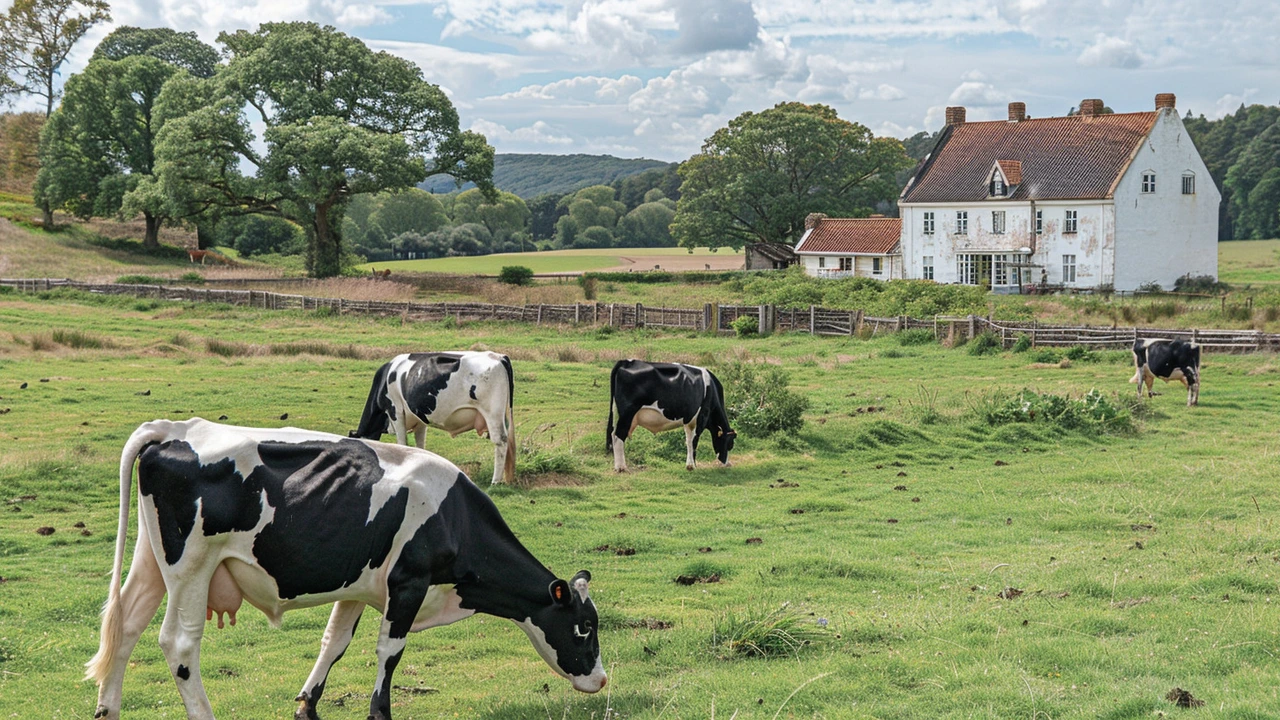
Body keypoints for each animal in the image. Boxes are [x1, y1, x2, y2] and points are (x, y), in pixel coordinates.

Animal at [86, 415, 604, 717]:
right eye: (583, 628)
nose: (600, 679)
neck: (453, 516)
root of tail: (175, 427)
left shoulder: (359, 586)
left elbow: (334, 643)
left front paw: (307, 705)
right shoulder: (408, 584)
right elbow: (389, 651)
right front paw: (380, 712)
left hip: (152, 559)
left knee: (125, 627)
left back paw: (107, 710)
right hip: (191, 566)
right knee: (179, 644)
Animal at [350, 351, 514, 484]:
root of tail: (498, 356)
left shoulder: (395, 411)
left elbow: (402, 443)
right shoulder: (419, 419)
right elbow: (420, 445)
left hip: (492, 413)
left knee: (500, 441)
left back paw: (495, 481)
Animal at [604, 358, 737, 471]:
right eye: (729, 444)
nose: (727, 464)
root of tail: (627, 361)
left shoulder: (690, 421)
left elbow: (689, 440)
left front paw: (689, 465)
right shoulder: (702, 416)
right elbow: (694, 441)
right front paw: (693, 466)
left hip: (615, 412)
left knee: (612, 432)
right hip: (627, 413)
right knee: (619, 434)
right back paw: (621, 467)